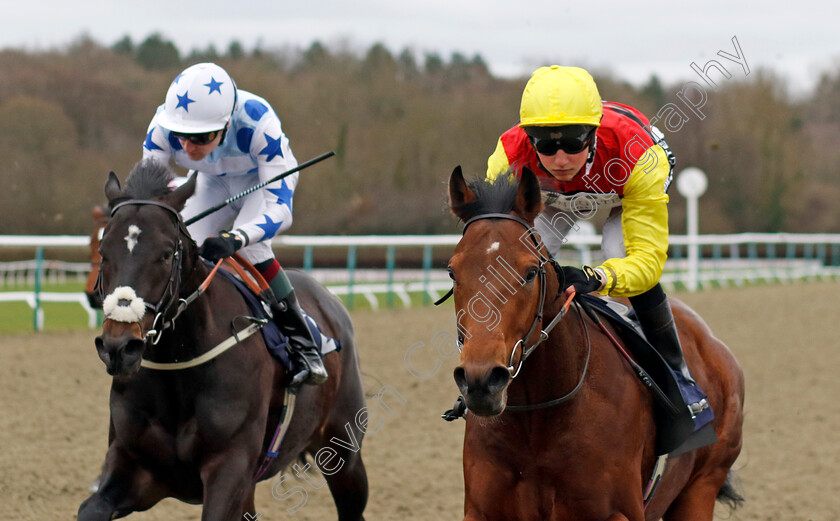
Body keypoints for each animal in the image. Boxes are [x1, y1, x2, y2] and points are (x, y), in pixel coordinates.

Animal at [79, 160, 368, 516]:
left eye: (165, 254)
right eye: (103, 251)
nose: (119, 347)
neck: (179, 363)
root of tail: (329, 299)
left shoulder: (230, 466)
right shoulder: (136, 467)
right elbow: (90, 508)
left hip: (344, 453)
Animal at [446, 168, 740, 520]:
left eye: (529, 272)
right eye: (452, 272)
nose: (480, 379)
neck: (537, 421)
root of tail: (715, 347)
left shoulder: (618, 511)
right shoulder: (483, 510)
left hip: (702, 485)